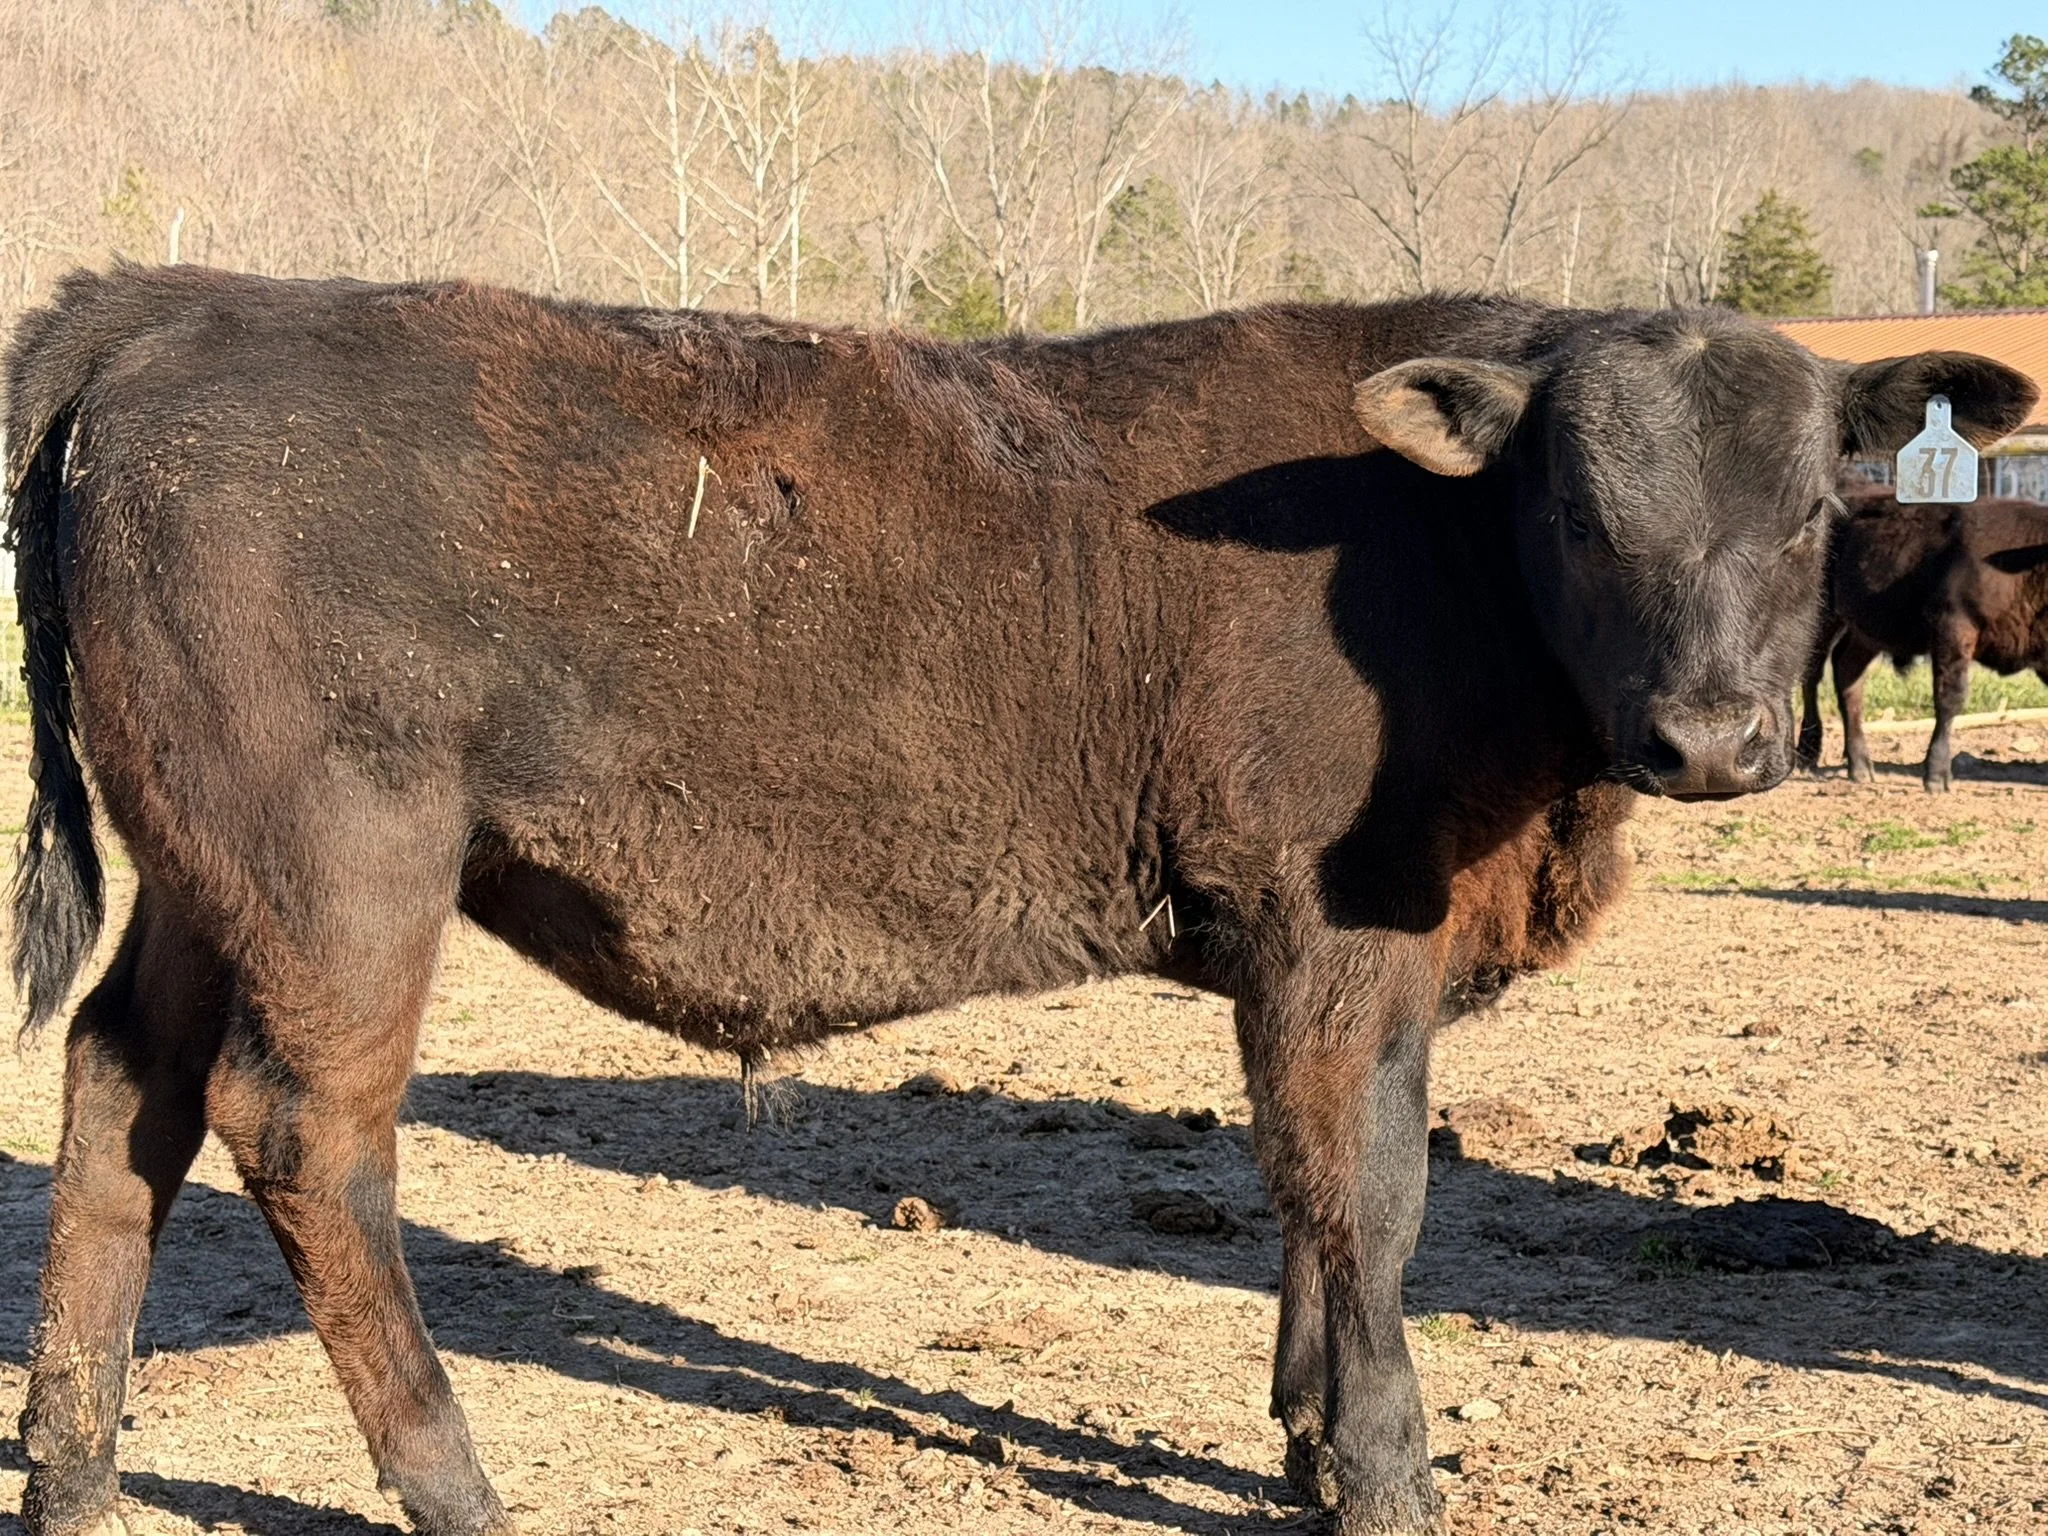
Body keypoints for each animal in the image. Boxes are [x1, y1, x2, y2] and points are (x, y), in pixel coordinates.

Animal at [1797, 488, 2048, 791]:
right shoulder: (1953, 630)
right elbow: (1950, 699)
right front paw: (1937, 775)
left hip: (1866, 632)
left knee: (1848, 678)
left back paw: (1860, 765)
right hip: (1824, 615)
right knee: (1812, 674)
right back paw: (1808, 751)